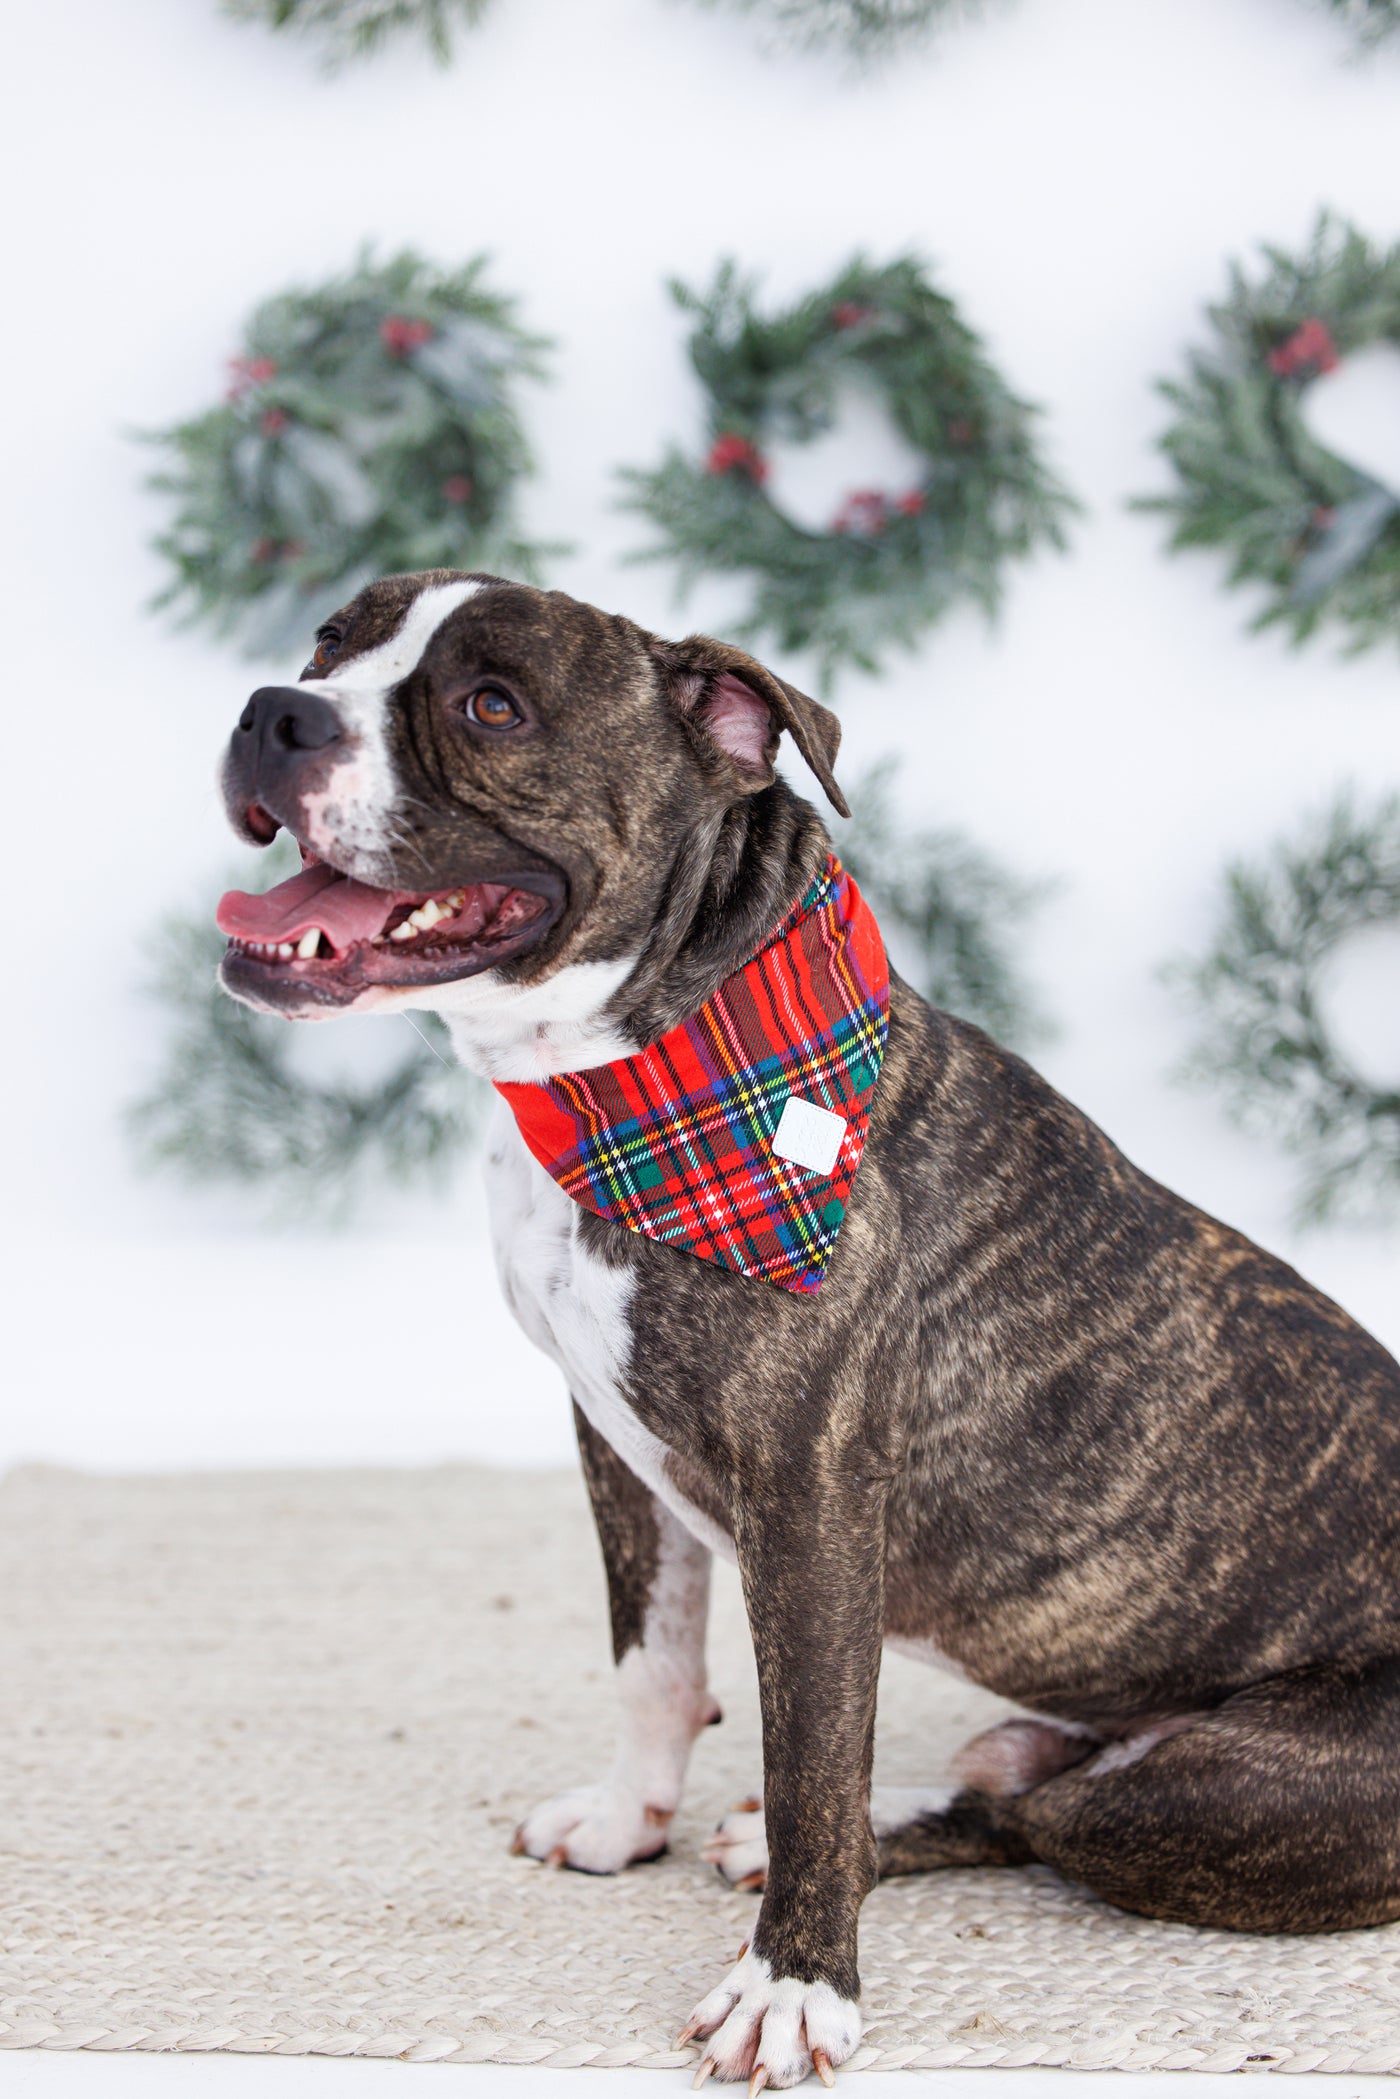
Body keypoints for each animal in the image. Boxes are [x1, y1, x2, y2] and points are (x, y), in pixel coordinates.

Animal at [216, 566, 1400, 2090]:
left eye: (491, 704)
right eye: (329, 642)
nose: (273, 711)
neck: (638, 1069)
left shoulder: (815, 1500)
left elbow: (813, 1756)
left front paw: (793, 1985)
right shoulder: (612, 1440)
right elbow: (654, 1662)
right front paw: (629, 1820)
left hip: (1215, 1795)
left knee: (1046, 1815)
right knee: (1023, 1784)